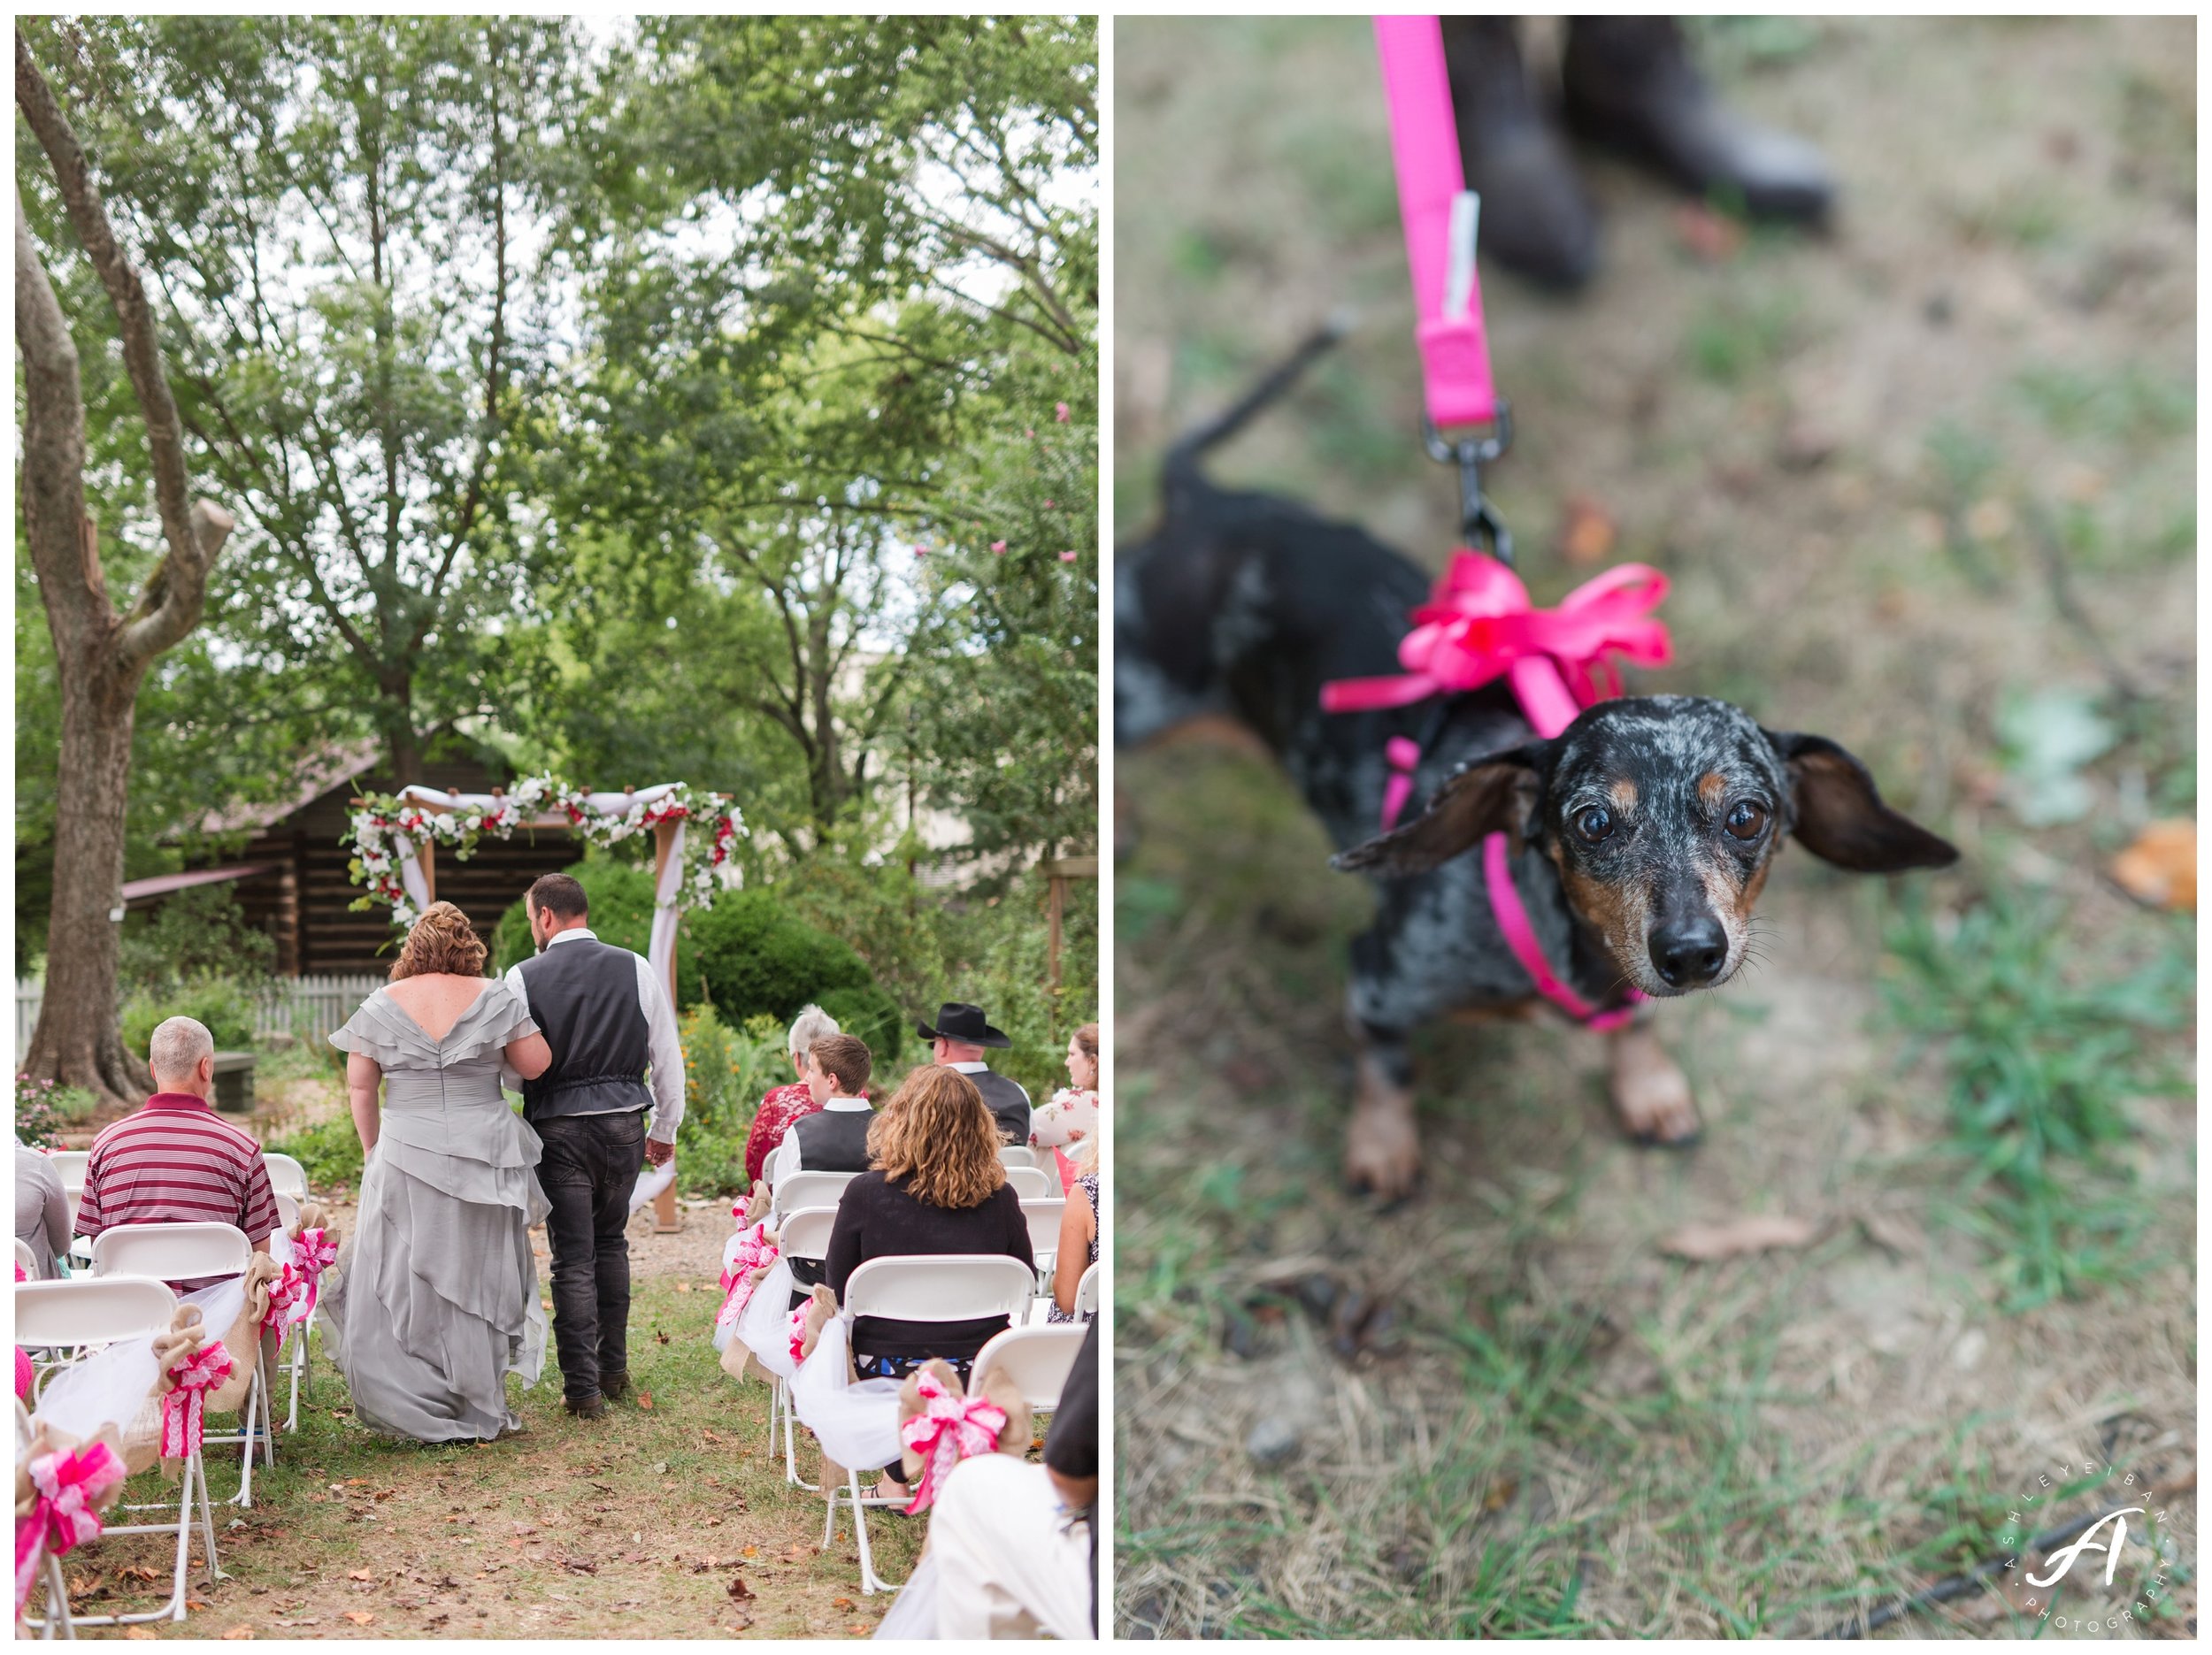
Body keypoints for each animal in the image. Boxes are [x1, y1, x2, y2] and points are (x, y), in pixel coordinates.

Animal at [1124, 329, 1955, 1194]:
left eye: (1747, 814)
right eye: (1591, 822)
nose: (1691, 952)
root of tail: (1205, 503)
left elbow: (1634, 1029)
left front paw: (1649, 1087)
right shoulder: (1377, 981)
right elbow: (1387, 1068)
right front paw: (1382, 1147)